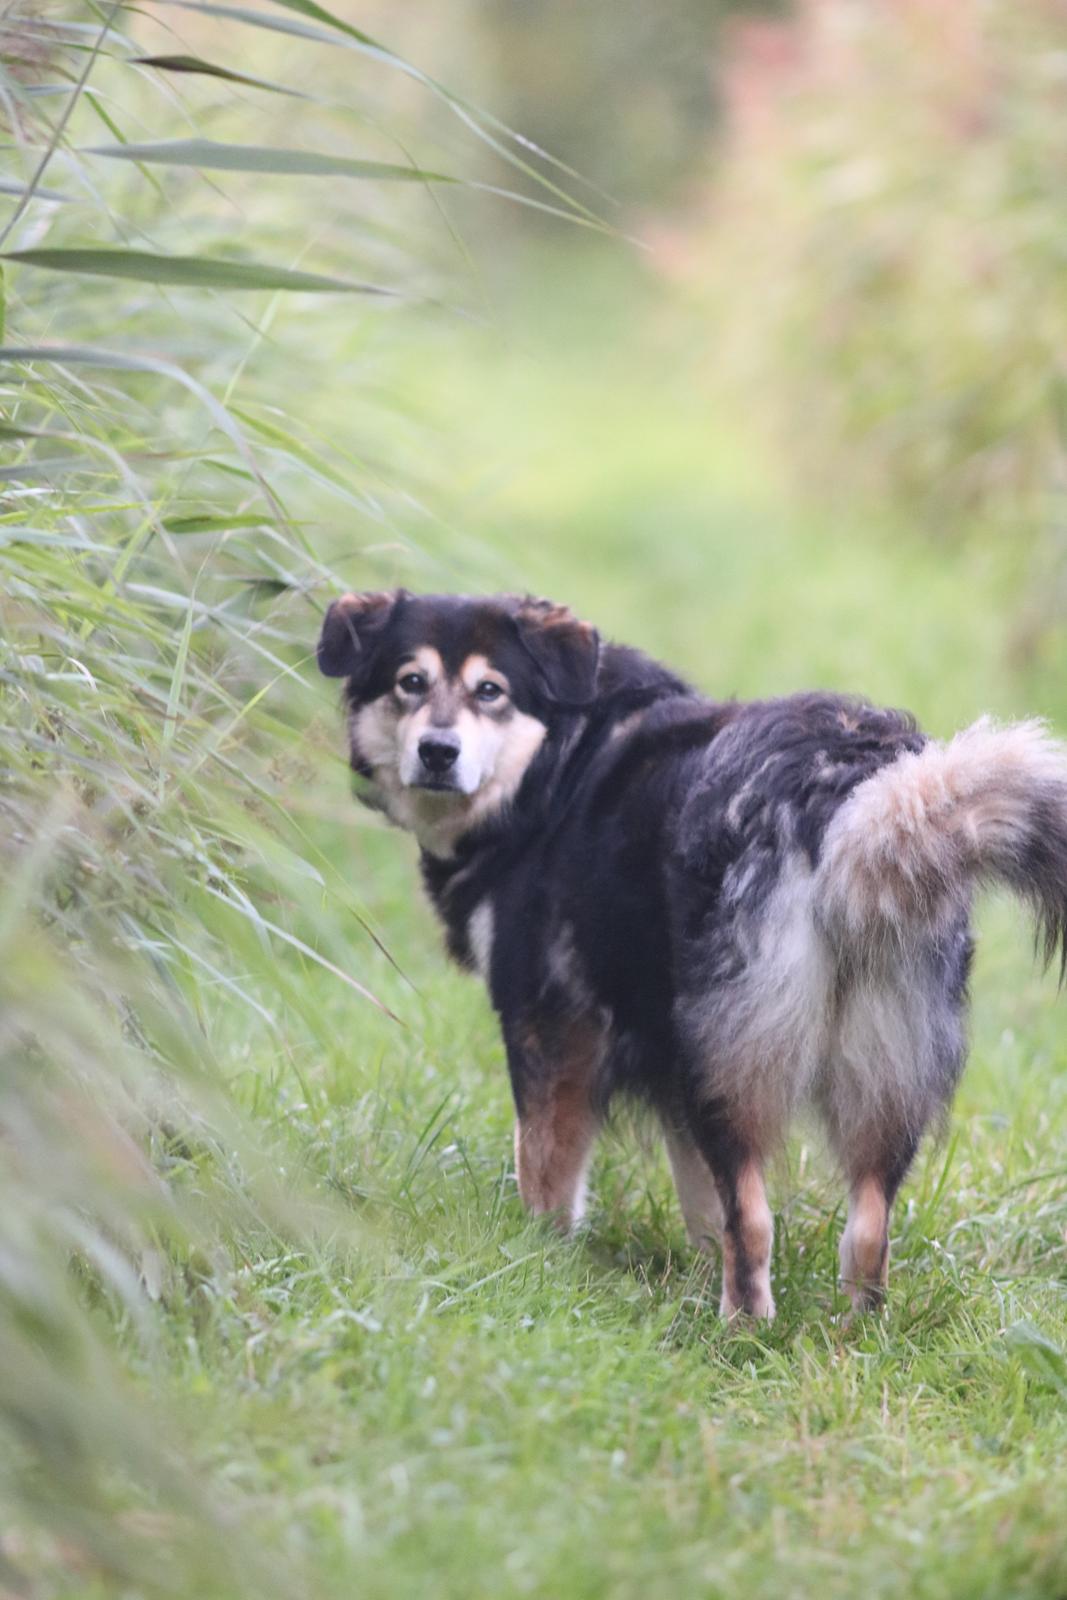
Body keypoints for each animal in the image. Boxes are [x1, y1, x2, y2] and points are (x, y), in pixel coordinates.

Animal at [316, 595, 1067, 1318]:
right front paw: (695, 1262)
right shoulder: (673, 1055)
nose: (437, 752)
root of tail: (848, 788)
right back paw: (855, 1334)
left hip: (735, 1060)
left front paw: (536, 1253)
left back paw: (740, 1327)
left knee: (756, 1217)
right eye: (410, 683)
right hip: (871, 1065)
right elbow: (702, 1199)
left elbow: (545, 1160)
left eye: (490, 690)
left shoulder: (552, 1018)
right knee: (867, 1224)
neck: (556, 759)